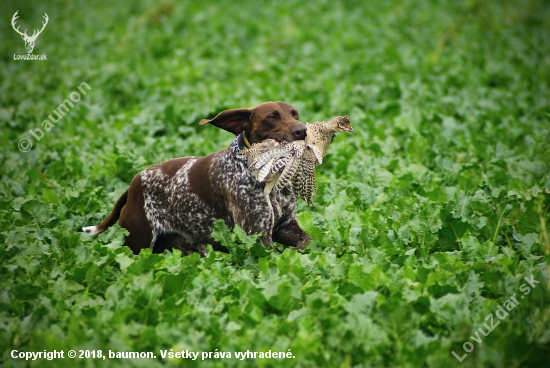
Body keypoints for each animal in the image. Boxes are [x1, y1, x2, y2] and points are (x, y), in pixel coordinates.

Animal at [83, 100, 312, 256]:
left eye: (295, 114)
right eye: (272, 117)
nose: (302, 130)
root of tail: (132, 187)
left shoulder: (284, 226)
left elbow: (308, 240)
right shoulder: (257, 237)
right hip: (138, 246)